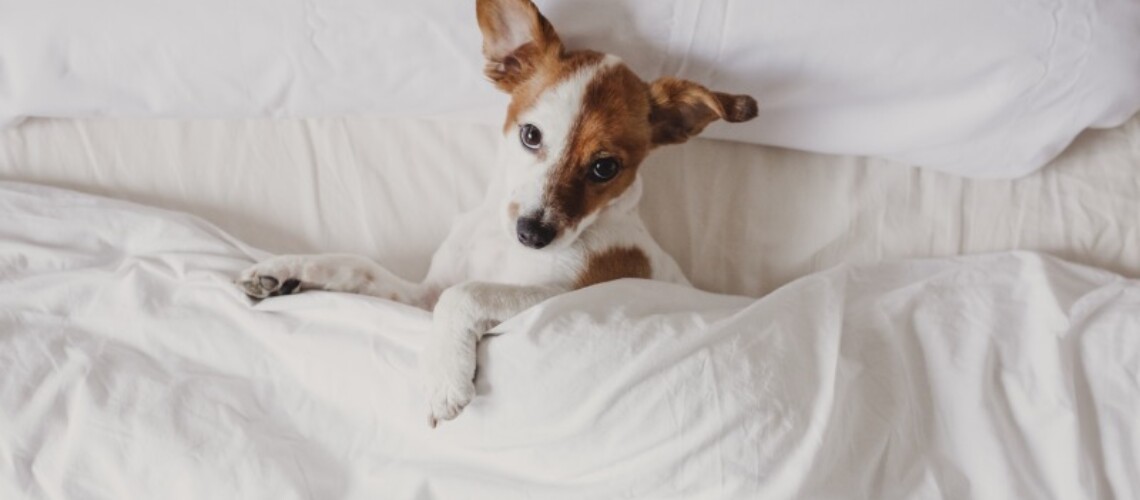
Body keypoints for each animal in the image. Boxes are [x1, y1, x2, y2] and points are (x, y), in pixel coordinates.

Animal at [234, 0, 756, 428]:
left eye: (605, 167)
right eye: (530, 135)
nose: (533, 234)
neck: (501, 244)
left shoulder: (563, 294)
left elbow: (466, 293)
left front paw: (443, 377)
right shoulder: (421, 295)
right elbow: (358, 266)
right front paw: (288, 269)